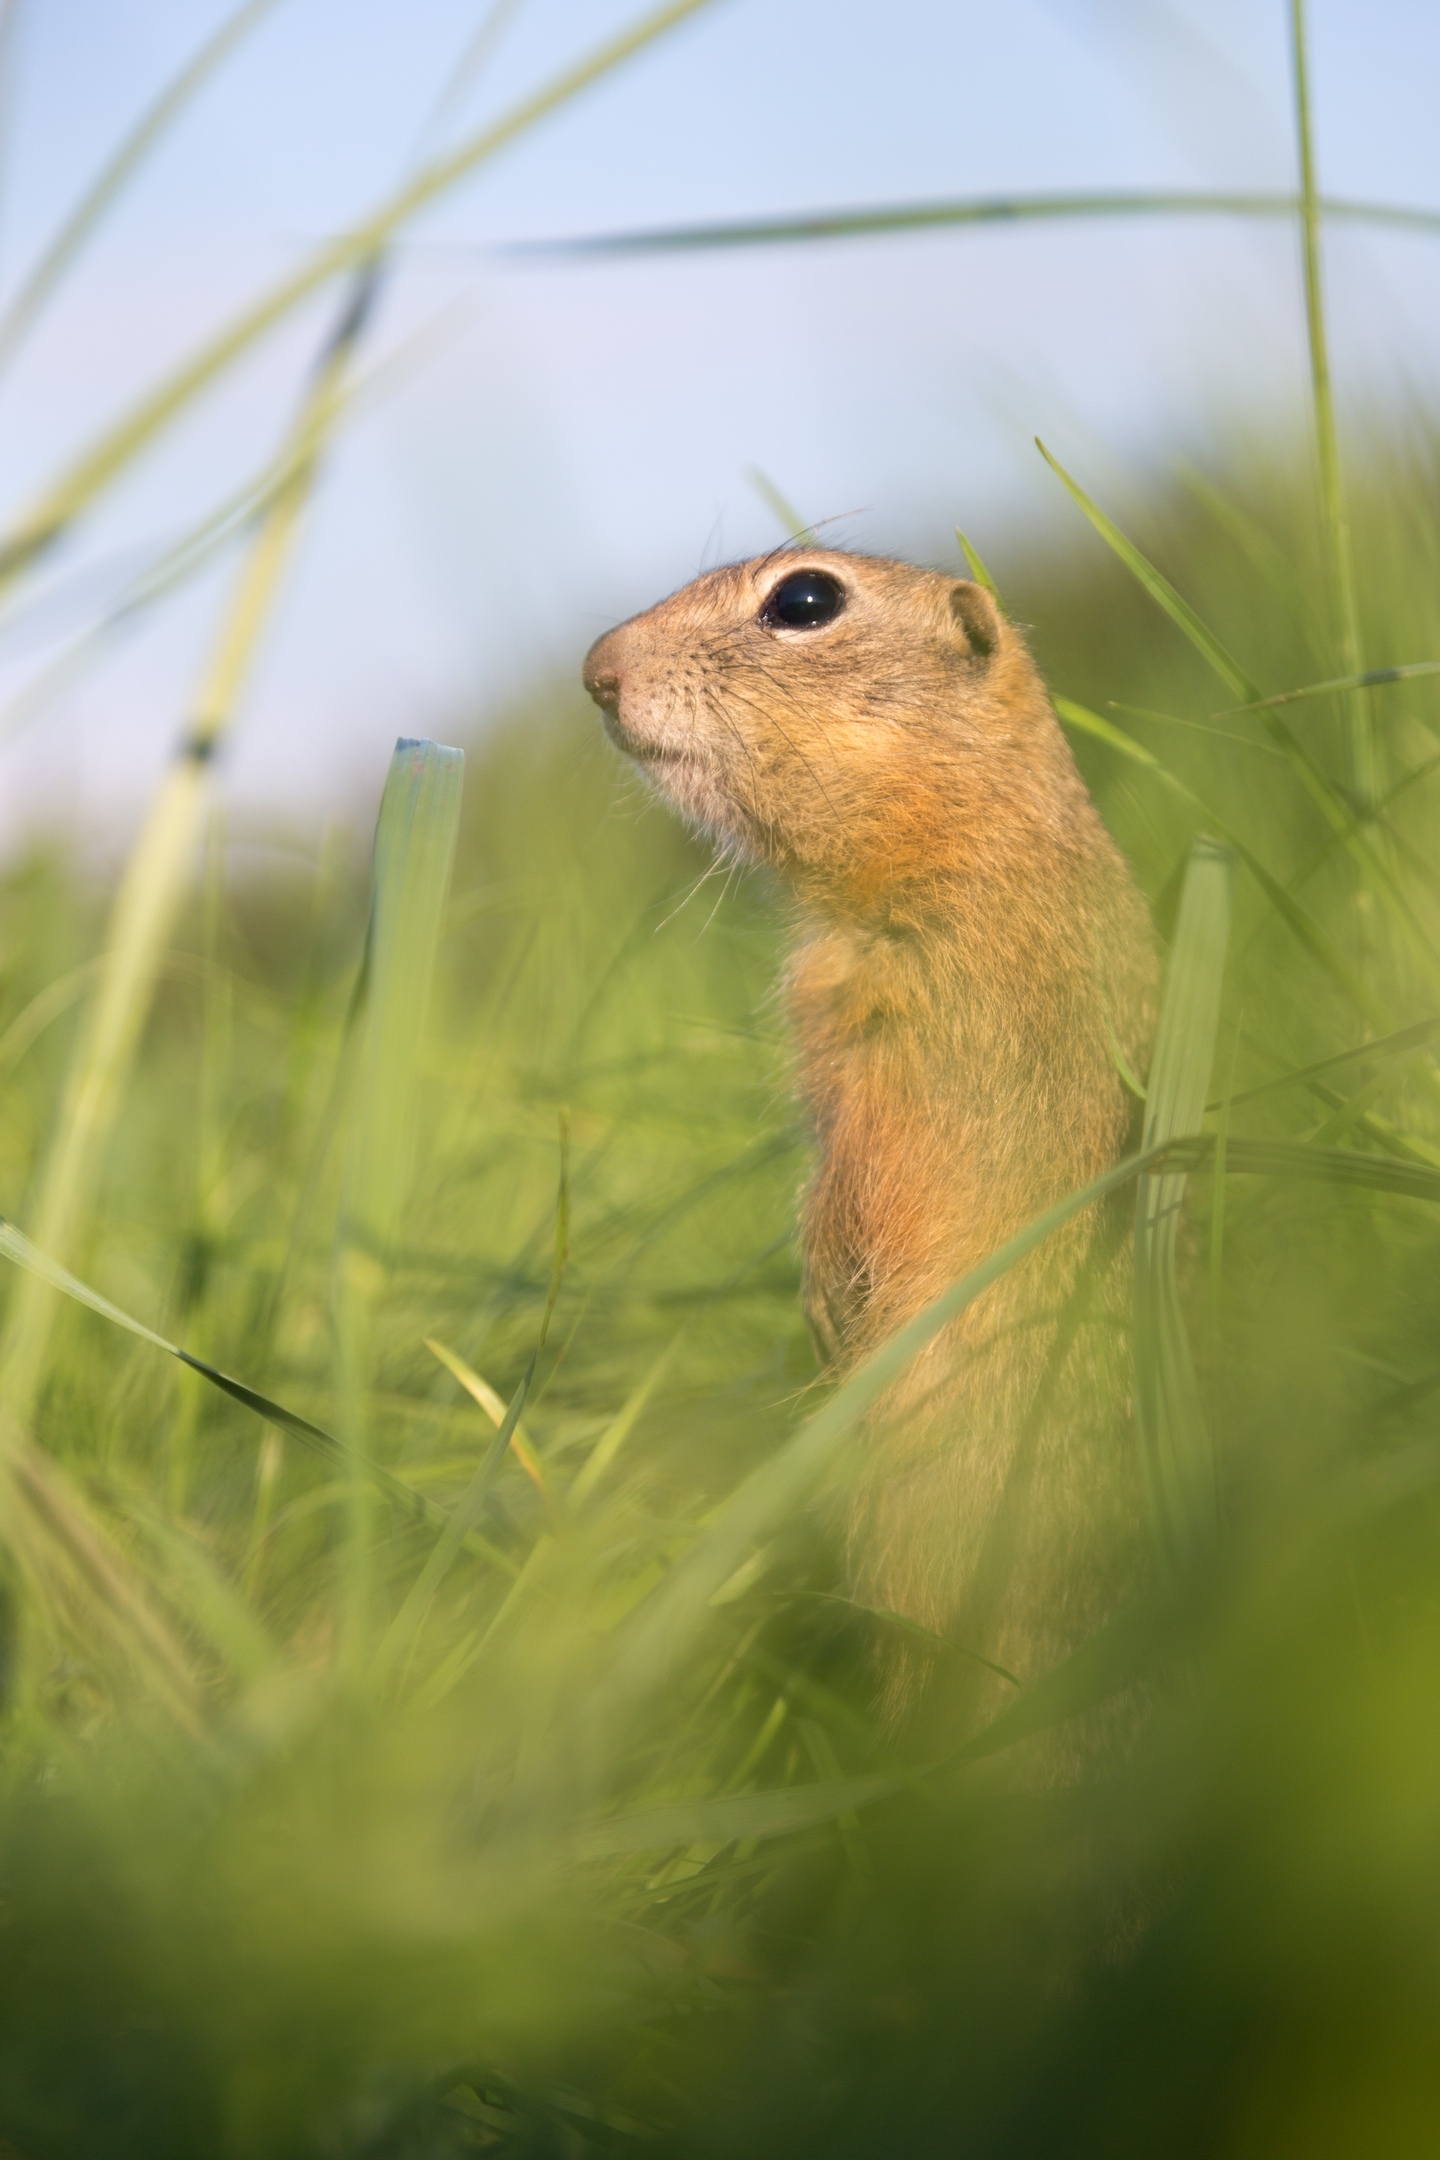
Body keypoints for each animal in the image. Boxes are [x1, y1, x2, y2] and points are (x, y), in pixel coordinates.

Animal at [587, 548, 1157, 1728]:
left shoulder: (900, 1058)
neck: (976, 834)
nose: (595, 671)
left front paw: (825, 1314)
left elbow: (856, 1193)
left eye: (806, 600)